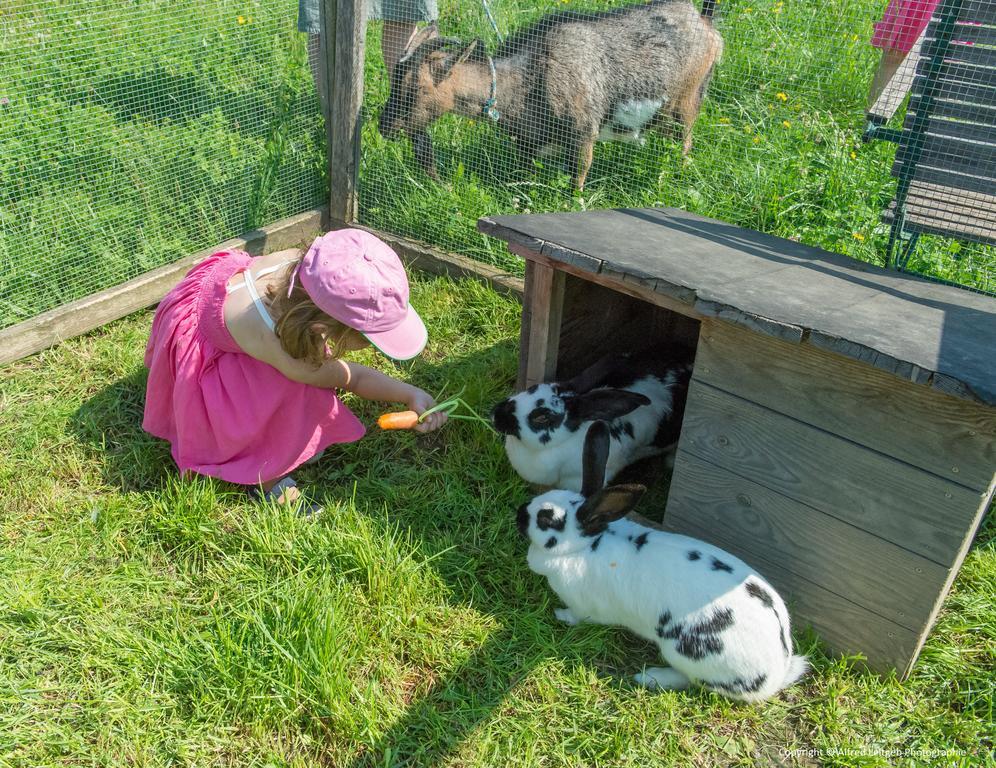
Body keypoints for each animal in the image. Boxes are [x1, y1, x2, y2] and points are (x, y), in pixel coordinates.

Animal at [516, 420, 812, 704]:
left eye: (546, 518)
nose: (520, 513)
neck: (585, 547)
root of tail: (776, 674)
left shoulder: (584, 606)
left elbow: (577, 616)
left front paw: (561, 615)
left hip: (682, 652)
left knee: (691, 681)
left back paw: (651, 677)